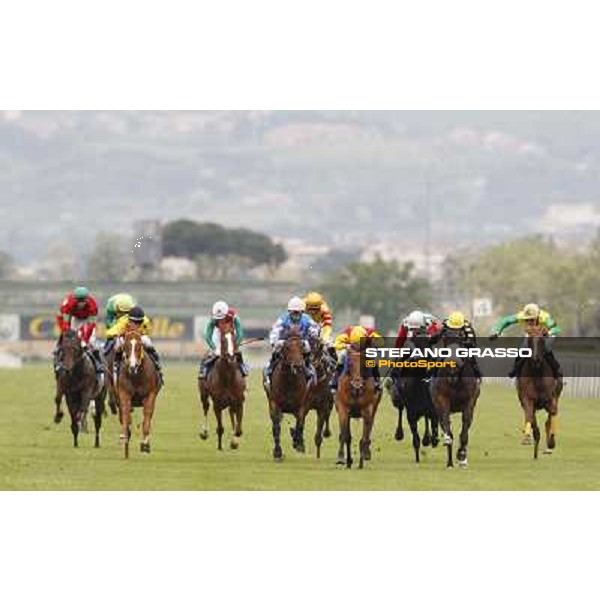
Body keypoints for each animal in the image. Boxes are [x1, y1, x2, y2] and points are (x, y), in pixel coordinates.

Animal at [115, 328, 161, 460]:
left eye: (139, 346)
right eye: (125, 346)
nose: (133, 366)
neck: (136, 377)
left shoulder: (150, 395)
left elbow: (146, 418)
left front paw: (145, 444)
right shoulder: (124, 394)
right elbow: (125, 415)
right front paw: (125, 438)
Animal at [268, 326, 314, 462]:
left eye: (301, 346)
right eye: (287, 347)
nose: (298, 365)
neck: (289, 382)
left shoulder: (301, 406)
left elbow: (299, 425)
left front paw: (298, 443)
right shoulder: (275, 404)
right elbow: (276, 427)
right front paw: (277, 452)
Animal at [516, 324, 564, 460]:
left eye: (542, 339)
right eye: (530, 340)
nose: (536, 359)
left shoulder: (551, 399)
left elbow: (552, 415)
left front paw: (551, 443)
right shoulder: (527, 399)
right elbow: (530, 417)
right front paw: (528, 437)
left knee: (549, 419)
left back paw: (548, 447)